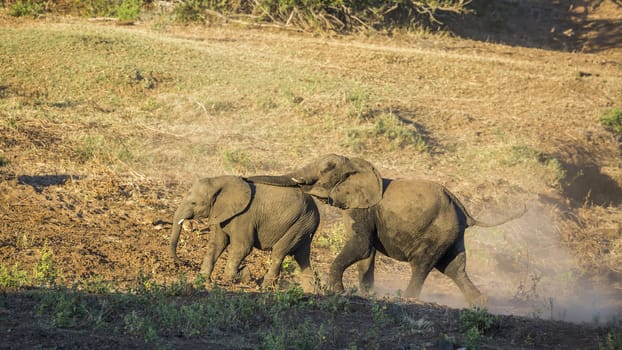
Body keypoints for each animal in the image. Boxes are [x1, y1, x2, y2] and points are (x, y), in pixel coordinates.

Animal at [169, 175, 320, 290]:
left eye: (194, 203)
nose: (182, 262)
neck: (220, 181)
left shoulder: (245, 217)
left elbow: (243, 247)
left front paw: (244, 273)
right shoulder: (220, 213)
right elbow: (217, 244)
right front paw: (201, 282)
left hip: (302, 222)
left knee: (279, 252)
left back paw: (264, 287)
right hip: (305, 225)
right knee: (302, 256)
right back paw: (310, 291)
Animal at [249, 154, 528, 304]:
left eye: (327, 168)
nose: (246, 179)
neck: (357, 164)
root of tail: (464, 210)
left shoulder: (363, 209)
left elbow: (361, 247)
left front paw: (337, 291)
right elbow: (366, 253)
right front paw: (366, 293)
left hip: (439, 231)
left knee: (423, 264)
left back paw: (407, 298)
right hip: (453, 235)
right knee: (454, 268)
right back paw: (480, 303)